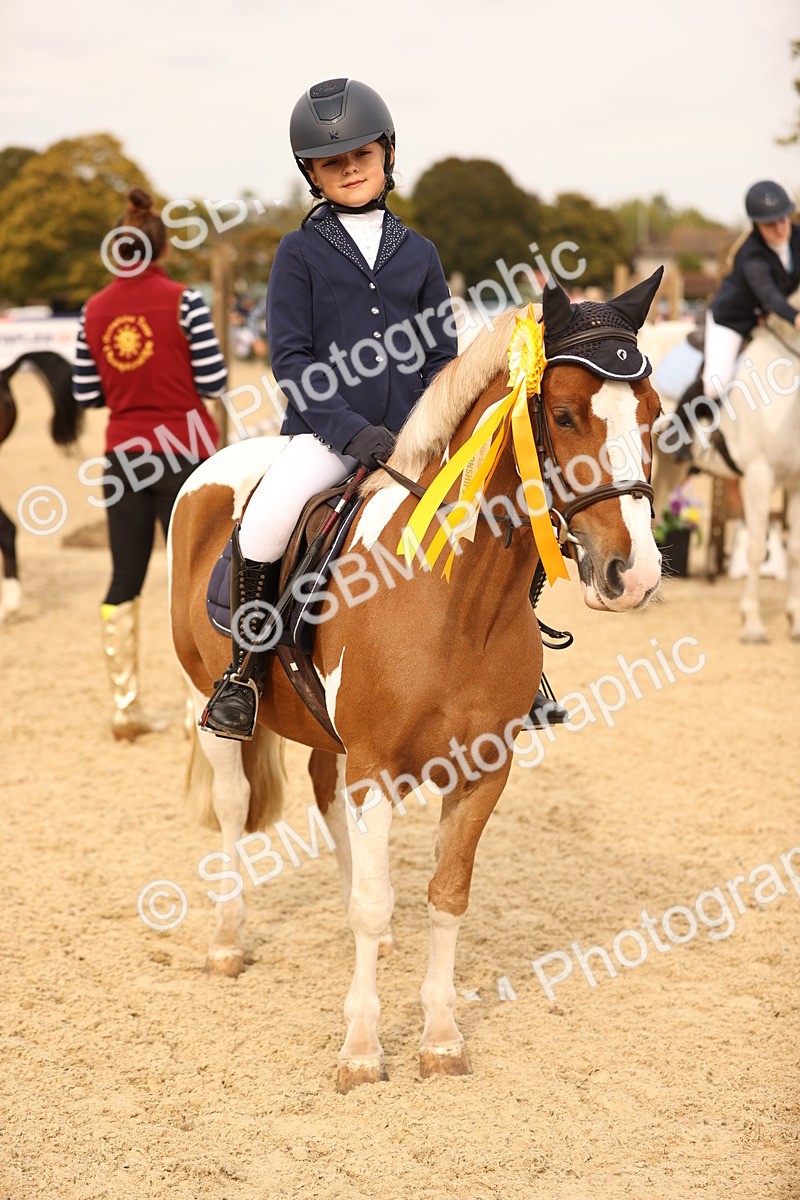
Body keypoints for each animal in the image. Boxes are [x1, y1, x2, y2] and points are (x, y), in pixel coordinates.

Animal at [168, 274, 664, 1092]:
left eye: (653, 414)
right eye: (563, 415)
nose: (636, 575)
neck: (456, 597)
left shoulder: (481, 770)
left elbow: (446, 895)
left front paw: (439, 1038)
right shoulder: (376, 767)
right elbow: (375, 902)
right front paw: (362, 1051)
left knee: (323, 794)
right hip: (206, 703)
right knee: (235, 805)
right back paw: (227, 941)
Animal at [652, 293, 800, 642]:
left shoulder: (796, 482)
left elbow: (794, 552)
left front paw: (795, 622)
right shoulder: (759, 478)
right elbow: (757, 549)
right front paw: (753, 624)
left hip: (667, 466)